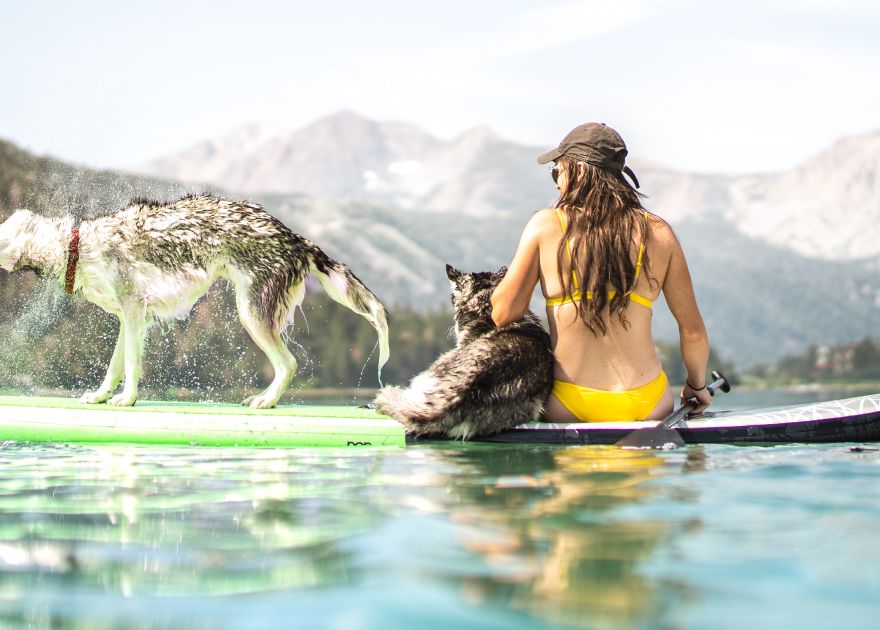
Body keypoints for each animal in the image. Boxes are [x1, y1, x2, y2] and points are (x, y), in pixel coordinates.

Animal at [0, 194, 388, 410]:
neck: (78, 248)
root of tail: (296, 238)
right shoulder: (129, 319)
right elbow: (114, 366)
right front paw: (100, 396)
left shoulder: (134, 311)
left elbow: (131, 366)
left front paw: (127, 399)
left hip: (251, 314)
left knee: (289, 364)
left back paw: (266, 400)